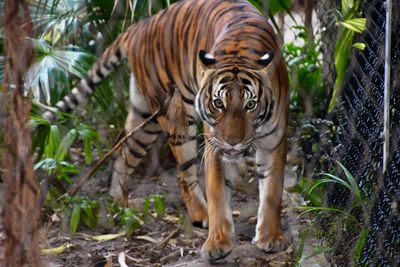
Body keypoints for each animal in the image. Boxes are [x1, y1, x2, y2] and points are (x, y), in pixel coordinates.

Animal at [42, 0, 290, 264]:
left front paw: (271, 237)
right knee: (185, 174)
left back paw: (117, 204)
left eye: (250, 105)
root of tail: (141, 24)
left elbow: (272, 193)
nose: (232, 142)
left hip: (144, 120)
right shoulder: (213, 145)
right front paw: (217, 243)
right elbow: (217, 193)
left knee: (122, 151)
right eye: (218, 103)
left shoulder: (274, 143)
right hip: (175, 116)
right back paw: (200, 213)